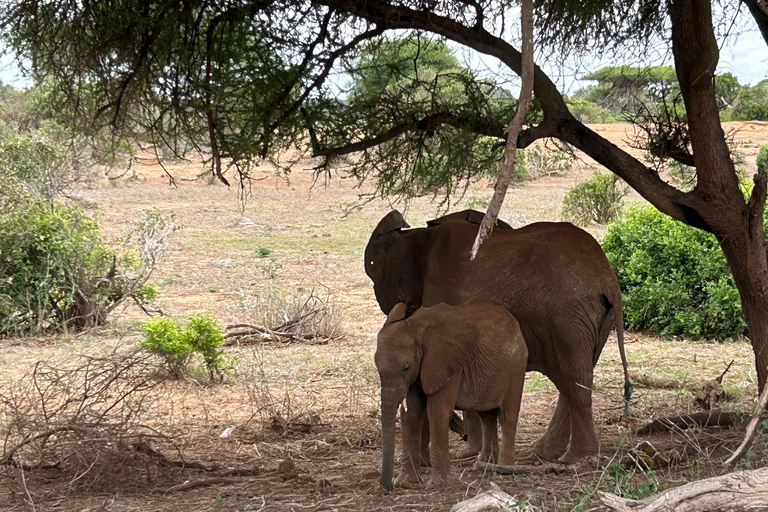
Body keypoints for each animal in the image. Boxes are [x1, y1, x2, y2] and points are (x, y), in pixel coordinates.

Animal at [366, 208, 632, 464]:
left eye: (373, 275)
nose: (461, 434)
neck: (418, 236)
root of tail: (607, 279)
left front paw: (466, 454)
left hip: (567, 318)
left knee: (574, 377)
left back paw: (576, 457)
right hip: (593, 317)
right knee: (576, 376)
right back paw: (548, 453)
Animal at [374, 298, 528, 490]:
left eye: (406, 367)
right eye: (377, 368)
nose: (388, 486)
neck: (417, 329)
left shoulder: (450, 365)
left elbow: (437, 411)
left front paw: (437, 483)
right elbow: (413, 413)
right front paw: (406, 482)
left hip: (516, 367)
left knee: (508, 414)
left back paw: (504, 468)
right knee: (487, 417)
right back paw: (484, 464)